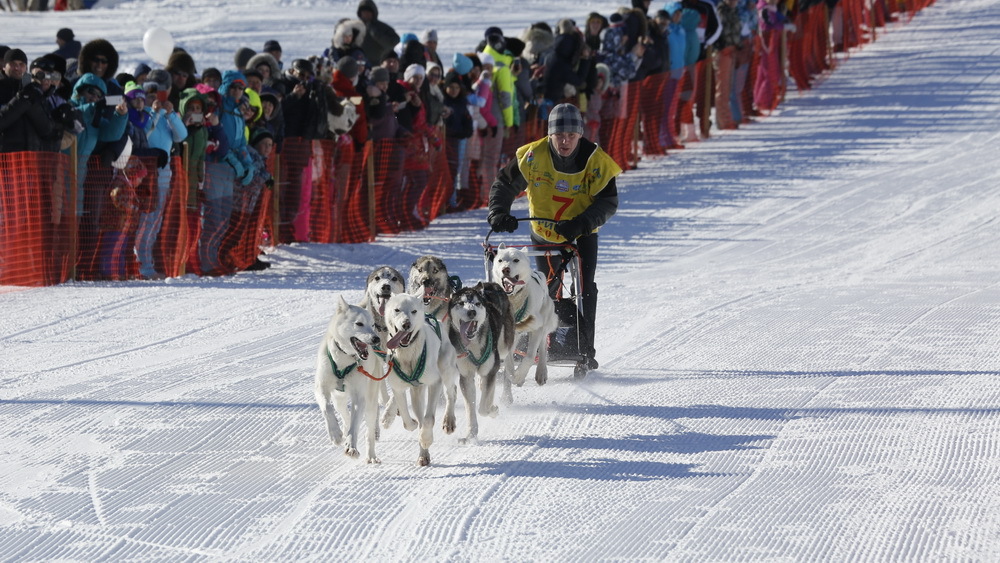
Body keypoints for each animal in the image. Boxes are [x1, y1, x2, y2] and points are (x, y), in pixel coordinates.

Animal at [316, 298, 382, 464]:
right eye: (359, 323)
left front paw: (351, 447)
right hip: (339, 399)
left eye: (372, 324)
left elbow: (355, 425)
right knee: (344, 415)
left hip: (370, 401)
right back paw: (343, 431)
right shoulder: (321, 388)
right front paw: (335, 434)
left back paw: (371, 456)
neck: (344, 360)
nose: (376, 339)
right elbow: (327, 408)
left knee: (369, 431)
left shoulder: (359, 397)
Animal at [382, 290, 460, 468]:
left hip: (445, 368)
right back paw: (423, 455)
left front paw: (426, 439)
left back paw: (448, 421)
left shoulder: (434, 383)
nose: (406, 324)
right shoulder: (398, 387)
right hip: (416, 392)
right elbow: (408, 420)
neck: (408, 355)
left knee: (451, 393)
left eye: (413, 311)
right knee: (418, 414)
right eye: (397, 310)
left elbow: (429, 419)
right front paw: (412, 424)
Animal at [448, 284, 516, 442]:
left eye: (477, 303)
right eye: (461, 303)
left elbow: (483, 407)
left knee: (509, 353)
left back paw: (511, 369)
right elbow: (471, 408)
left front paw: (493, 410)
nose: (471, 312)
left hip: (504, 344)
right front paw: (470, 434)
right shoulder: (466, 377)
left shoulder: (491, 370)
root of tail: (491, 284)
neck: (473, 344)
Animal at [492, 246, 564, 388]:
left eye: (516, 260)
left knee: (543, 347)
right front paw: (512, 375)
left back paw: (541, 372)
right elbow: (509, 363)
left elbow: (530, 357)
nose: (505, 269)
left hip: (545, 323)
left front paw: (519, 376)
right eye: (500, 260)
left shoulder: (537, 328)